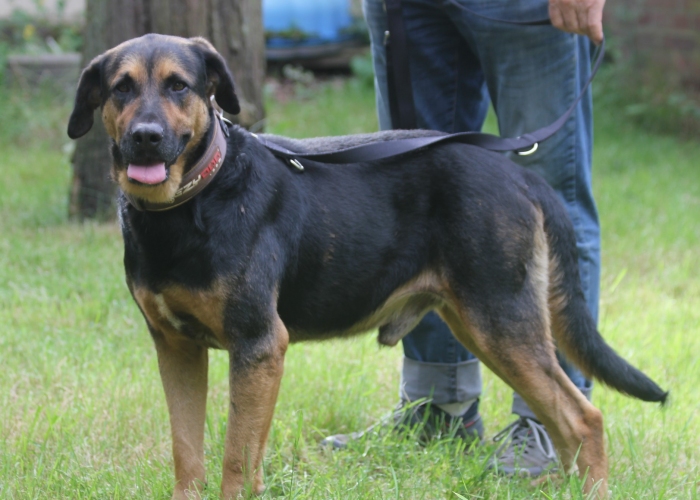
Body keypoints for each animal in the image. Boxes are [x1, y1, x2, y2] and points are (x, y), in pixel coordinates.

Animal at [67, 33, 668, 498]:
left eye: (179, 86)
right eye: (121, 88)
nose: (145, 138)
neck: (194, 201)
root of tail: (520, 173)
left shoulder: (257, 344)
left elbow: (236, 457)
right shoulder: (176, 347)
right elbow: (188, 451)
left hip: (502, 319)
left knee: (584, 419)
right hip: (474, 321)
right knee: (565, 424)